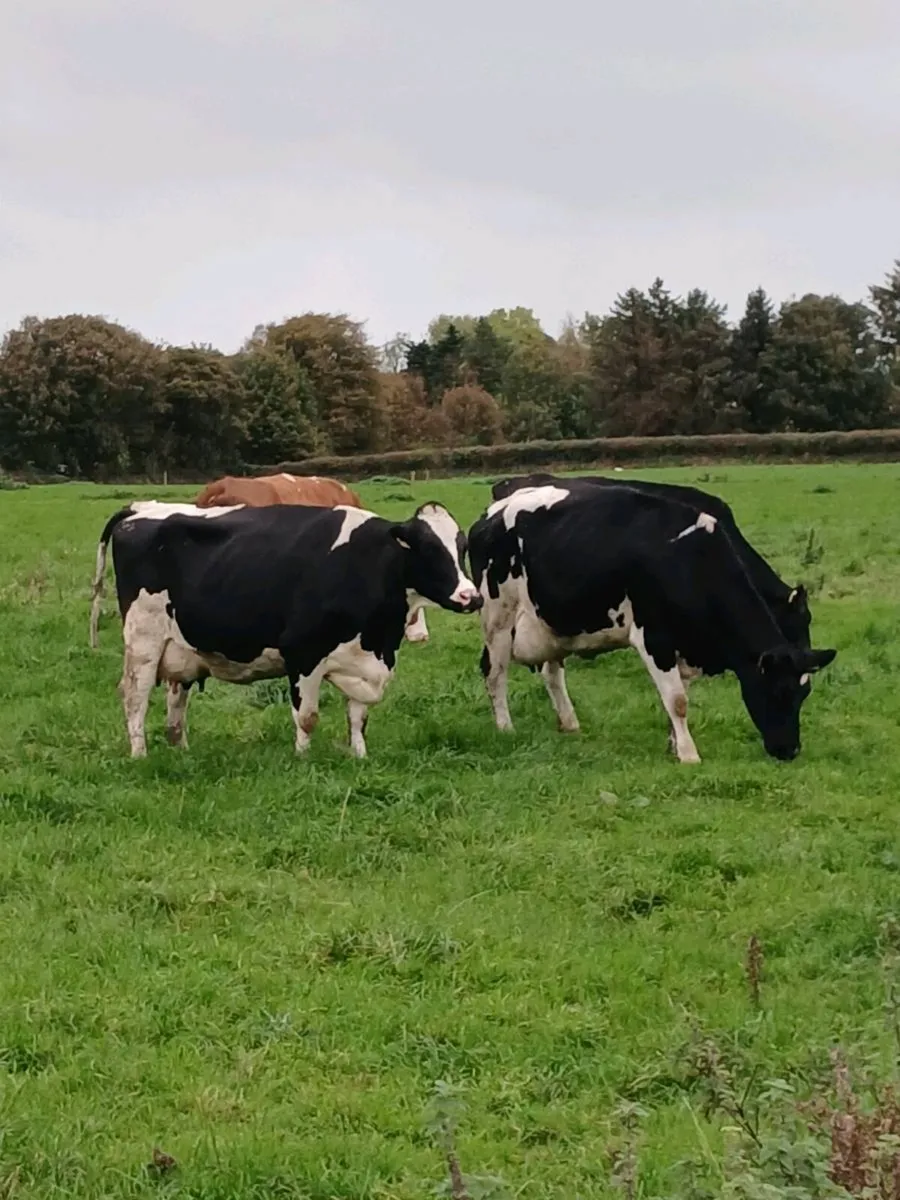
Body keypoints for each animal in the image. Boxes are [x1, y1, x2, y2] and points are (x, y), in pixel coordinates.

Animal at [94, 499, 481, 758]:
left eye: (462, 547)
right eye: (428, 548)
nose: (471, 596)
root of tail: (140, 507)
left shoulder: (363, 661)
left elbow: (358, 717)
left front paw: (360, 756)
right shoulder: (302, 653)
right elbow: (307, 717)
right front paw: (303, 758)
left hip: (180, 648)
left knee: (176, 702)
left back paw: (182, 751)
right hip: (144, 640)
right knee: (135, 696)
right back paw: (140, 754)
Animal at [469, 483, 836, 763]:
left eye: (804, 693)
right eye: (778, 691)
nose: (789, 751)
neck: (688, 562)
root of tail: (491, 513)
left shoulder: (683, 644)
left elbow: (678, 696)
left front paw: (674, 744)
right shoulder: (654, 637)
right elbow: (678, 700)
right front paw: (689, 755)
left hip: (552, 625)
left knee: (551, 672)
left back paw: (570, 723)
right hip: (498, 617)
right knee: (495, 672)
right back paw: (505, 728)